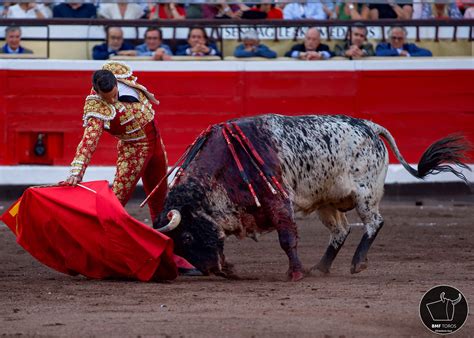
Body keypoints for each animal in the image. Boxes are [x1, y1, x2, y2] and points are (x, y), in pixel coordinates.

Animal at [153, 115, 470, 282]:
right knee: (341, 231)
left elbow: (287, 239)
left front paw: (295, 273)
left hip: (365, 193)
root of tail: (369, 126)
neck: (226, 166)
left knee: (373, 223)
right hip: (328, 201)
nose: (211, 271)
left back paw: (357, 263)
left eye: (188, 237)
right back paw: (321, 267)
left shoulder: (279, 202)